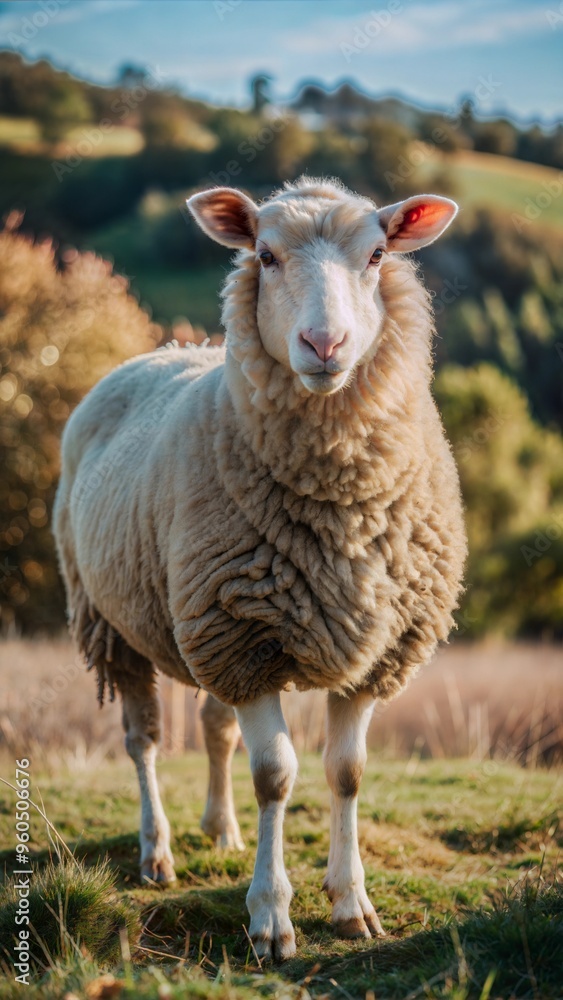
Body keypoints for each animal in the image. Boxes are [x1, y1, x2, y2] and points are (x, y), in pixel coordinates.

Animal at [53, 177, 467, 961]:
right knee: (143, 742)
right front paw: (271, 918)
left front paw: (351, 904)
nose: (324, 344)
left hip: (203, 624)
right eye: (266, 255)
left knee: (214, 727)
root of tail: (166, 350)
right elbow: (275, 776)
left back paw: (221, 830)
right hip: (113, 622)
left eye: (376, 255)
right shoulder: (245, 639)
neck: (341, 501)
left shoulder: (364, 647)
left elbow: (345, 773)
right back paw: (157, 852)